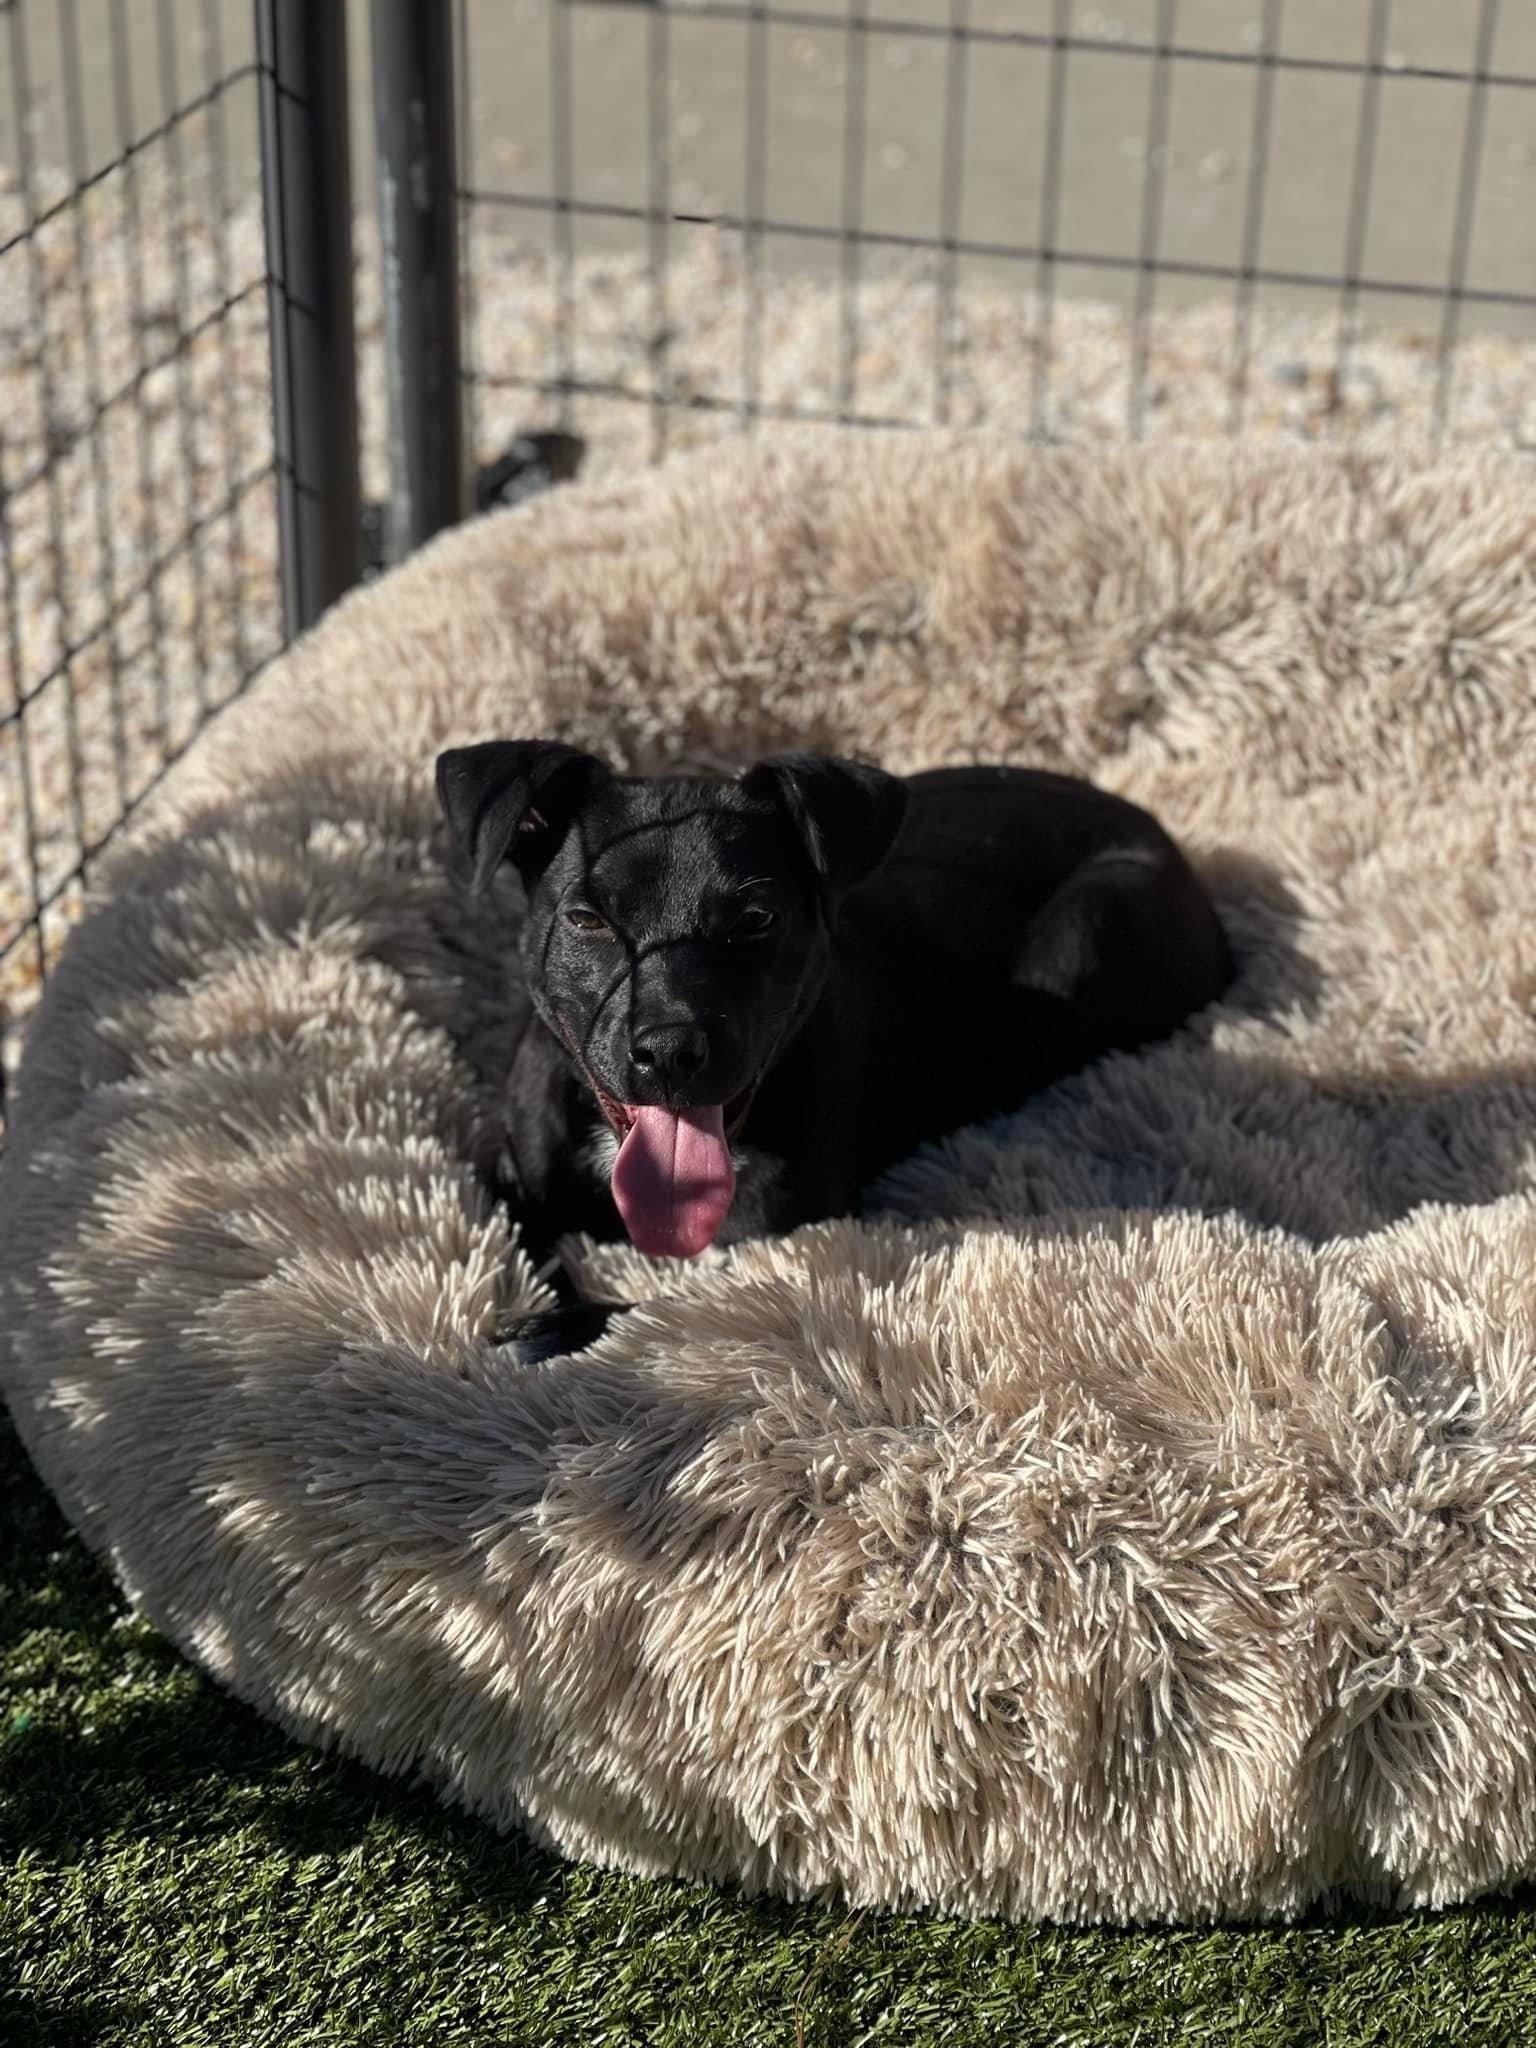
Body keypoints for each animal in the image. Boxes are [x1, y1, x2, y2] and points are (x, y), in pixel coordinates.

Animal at [438, 745, 1236, 1351]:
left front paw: (547, 1331)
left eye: (757, 917)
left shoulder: (788, 1247)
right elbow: (532, 1244)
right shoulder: (513, 1174)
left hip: (1082, 932)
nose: (668, 1053)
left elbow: (654, 1307)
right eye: (587, 918)